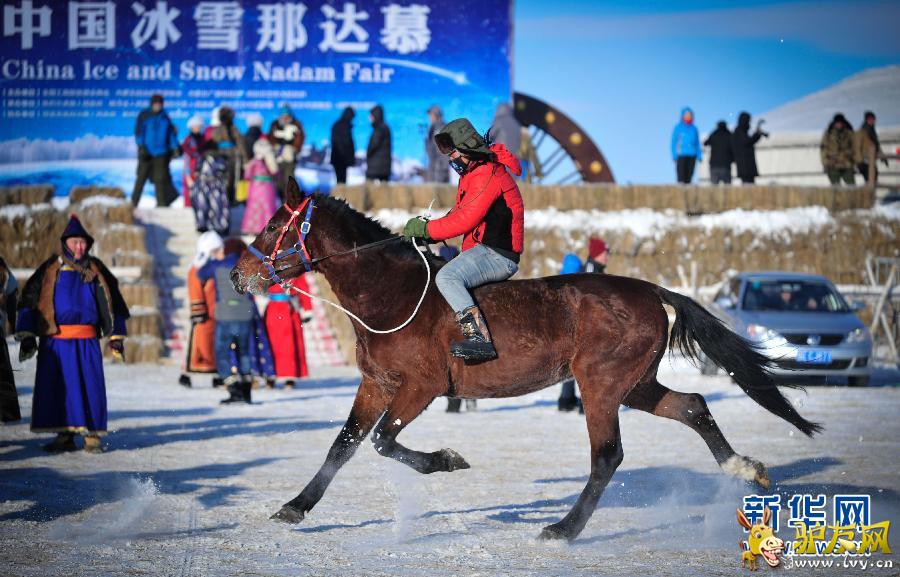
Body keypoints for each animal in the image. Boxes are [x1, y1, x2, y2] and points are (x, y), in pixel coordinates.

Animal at [232, 179, 824, 540]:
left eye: (273, 227)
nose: (238, 276)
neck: (391, 293)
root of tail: (649, 290)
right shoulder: (376, 384)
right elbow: (344, 446)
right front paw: (296, 506)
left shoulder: (420, 386)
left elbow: (382, 441)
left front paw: (447, 459)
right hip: (635, 384)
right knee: (694, 405)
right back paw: (743, 468)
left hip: (601, 385)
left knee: (607, 456)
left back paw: (564, 529)